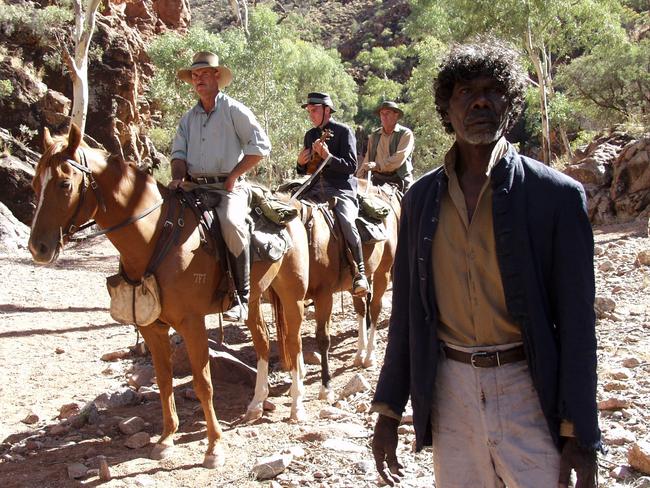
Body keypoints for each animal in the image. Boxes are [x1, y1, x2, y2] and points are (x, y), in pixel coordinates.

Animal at [26, 125, 308, 468]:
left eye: (65, 184)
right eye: (34, 183)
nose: (37, 248)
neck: (157, 236)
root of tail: (286, 204)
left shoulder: (192, 323)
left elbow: (203, 383)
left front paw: (214, 447)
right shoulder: (152, 327)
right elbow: (163, 381)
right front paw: (165, 439)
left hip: (292, 294)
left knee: (293, 344)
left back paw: (297, 406)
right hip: (254, 297)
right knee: (264, 342)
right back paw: (255, 404)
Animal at [296, 181, 398, 402]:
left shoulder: (324, 296)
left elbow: (323, 339)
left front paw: (326, 387)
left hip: (383, 271)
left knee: (375, 308)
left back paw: (369, 356)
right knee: (361, 309)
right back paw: (359, 353)